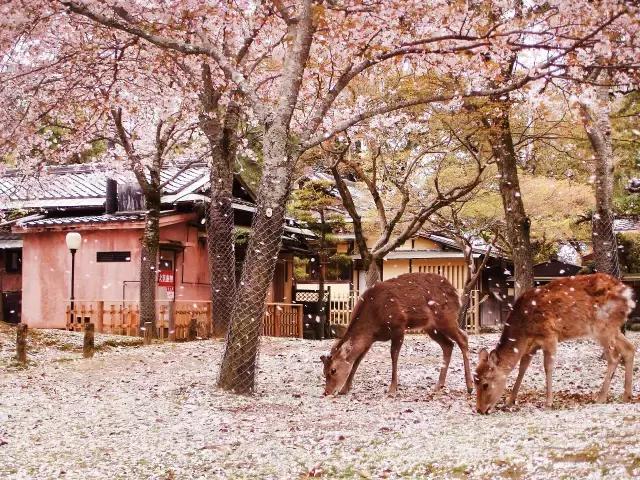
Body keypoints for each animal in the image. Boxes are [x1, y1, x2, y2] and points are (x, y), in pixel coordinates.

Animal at [320, 272, 476, 396]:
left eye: (333, 370)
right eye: (323, 371)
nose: (327, 392)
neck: (373, 322)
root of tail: (456, 293)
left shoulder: (398, 326)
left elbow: (393, 356)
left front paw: (392, 388)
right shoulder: (369, 340)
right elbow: (357, 360)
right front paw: (345, 389)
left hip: (446, 317)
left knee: (463, 338)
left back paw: (470, 386)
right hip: (431, 328)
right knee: (448, 345)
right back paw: (438, 386)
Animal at [476, 272, 636, 414]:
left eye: (485, 384)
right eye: (475, 379)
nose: (480, 410)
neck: (523, 331)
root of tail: (628, 294)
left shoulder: (550, 335)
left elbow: (548, 367)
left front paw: (548, 403)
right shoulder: (531, 346)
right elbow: (522, 368)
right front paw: (509, 401)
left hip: (602, 326)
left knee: (614, 357)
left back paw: (601, 398)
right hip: (613, 328)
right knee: (629, 348)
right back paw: (626, 396)